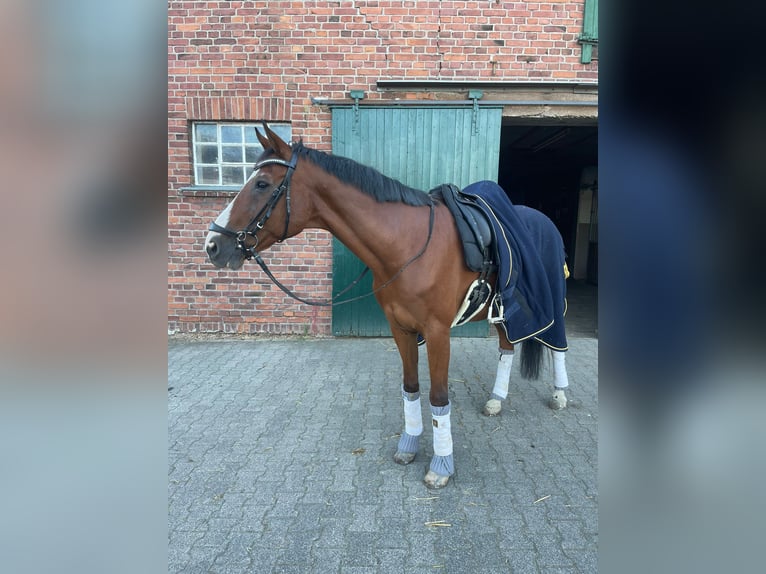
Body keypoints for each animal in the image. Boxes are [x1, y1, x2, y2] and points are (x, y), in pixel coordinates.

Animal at [204, 124, 568, 488]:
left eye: (262, 184)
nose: (212, 245)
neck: (407, 243)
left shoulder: (437, 333)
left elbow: (438, 397)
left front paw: (441, 466)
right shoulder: (400, 327)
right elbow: (411, 387)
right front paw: (408, 445)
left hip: (551, 302)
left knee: (558, 347)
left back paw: (560, 394)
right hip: (502, 311)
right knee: (507, 347)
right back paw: (495, 401)